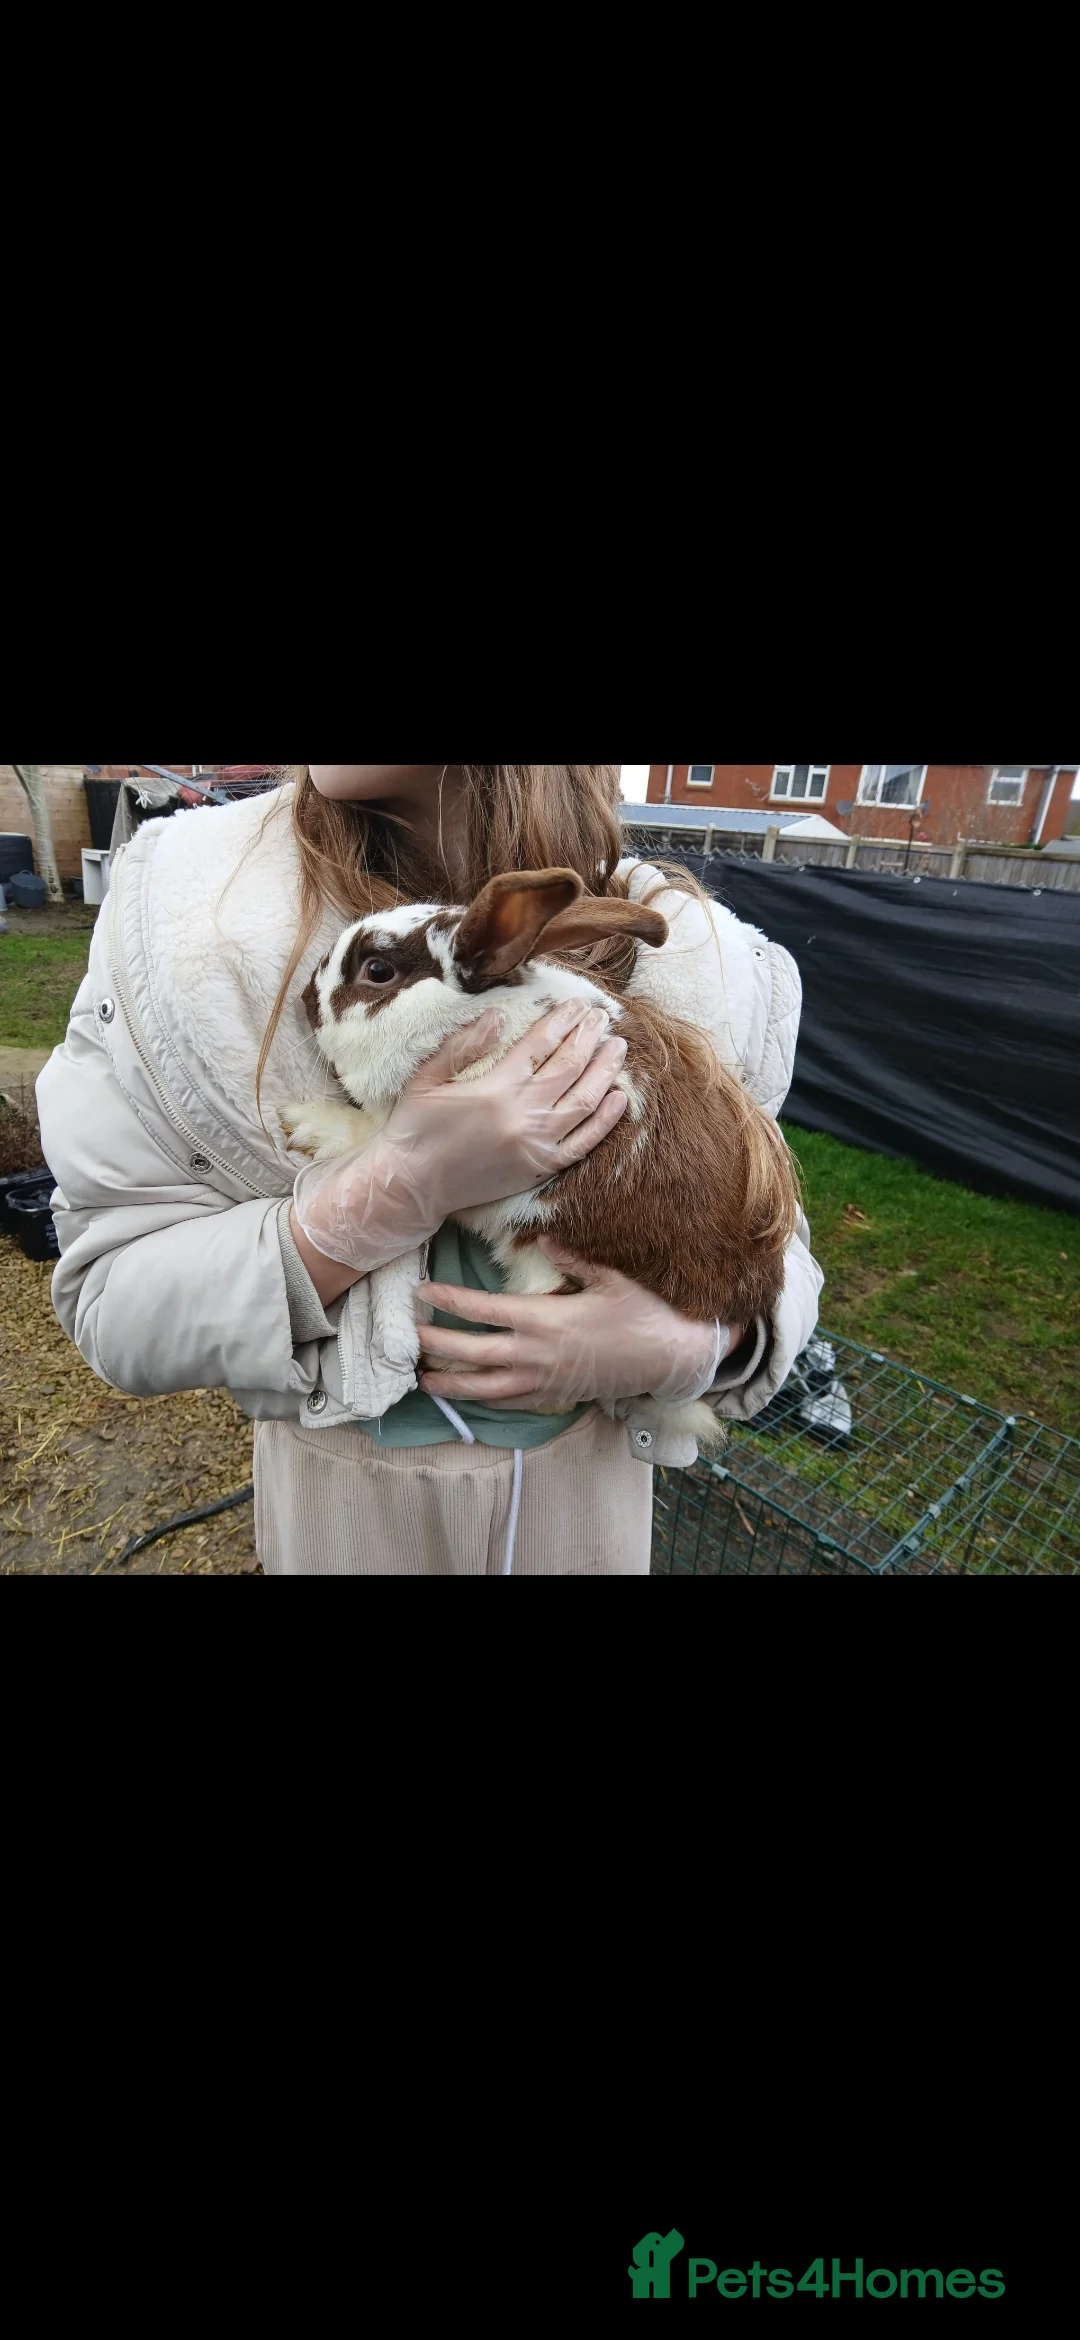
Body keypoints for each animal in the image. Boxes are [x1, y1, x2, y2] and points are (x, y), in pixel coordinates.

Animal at [280, 868, 798, 1457]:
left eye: (377, 970)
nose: (305, 998)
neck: (468, 1021)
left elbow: (373, 1138)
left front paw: (305, 1123)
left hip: (547, 1280)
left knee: (546, 1388)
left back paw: (448, 1362)